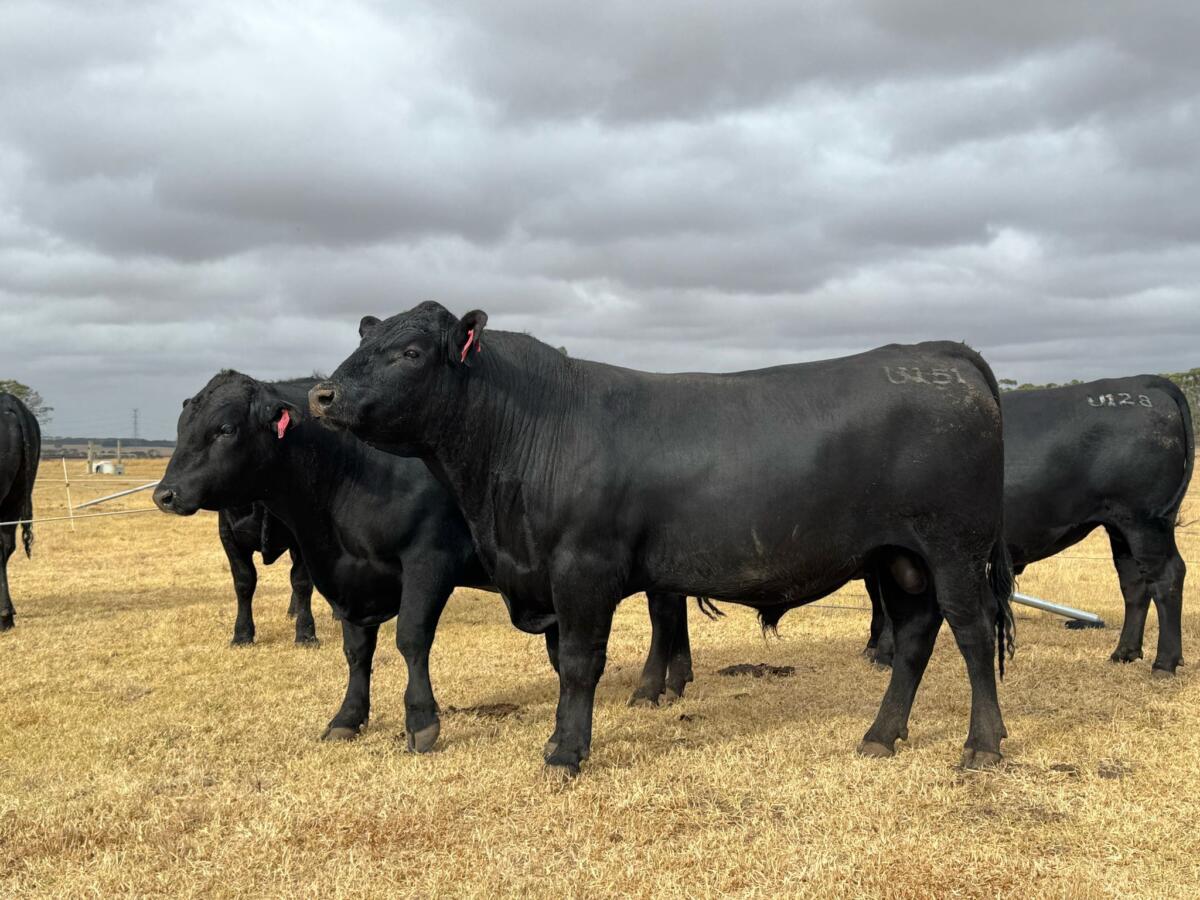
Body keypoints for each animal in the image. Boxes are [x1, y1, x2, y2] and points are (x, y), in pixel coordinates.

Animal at [217, 503, 317, 646]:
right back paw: (293, 612)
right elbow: (244, 582)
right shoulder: (228, 534)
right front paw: (242, 636)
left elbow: (301, 582)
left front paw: (306, 636)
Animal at [309, 301, 1015, 774]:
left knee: (972, 633)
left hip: (954, 548)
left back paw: (981, 745)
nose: (322, 394)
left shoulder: (582, 567)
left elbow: (579, 662)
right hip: (898, 559)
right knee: (917, 635)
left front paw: (566, 753)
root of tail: (938, 352)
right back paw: (881, 734)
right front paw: (564, 739)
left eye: (410, 353)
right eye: (363, 341)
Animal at [869, 376, 1193, 676]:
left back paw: (1164, 663)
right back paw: (1125, 652)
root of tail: (1142, 382)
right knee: (1135, 583)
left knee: (1167, 577)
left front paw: (883, 654)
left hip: (1145, 521)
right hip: (1120, 527)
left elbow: (886, 603)